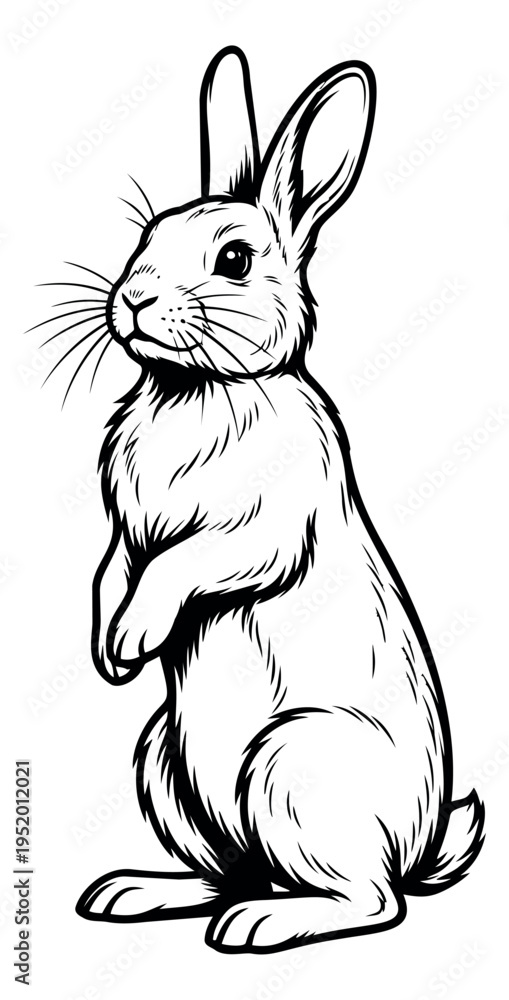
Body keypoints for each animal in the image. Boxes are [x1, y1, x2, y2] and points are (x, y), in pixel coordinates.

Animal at [74, 47, 484, 953]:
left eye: (233, 260)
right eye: (145, 238)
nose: (133, 299)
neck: (201, 387)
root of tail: (419, 847)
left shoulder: (263, 528)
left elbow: (187, 563)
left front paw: (135, 635)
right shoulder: (125, 532)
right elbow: (111, 570)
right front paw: (110, 654)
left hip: (291, 767)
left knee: (370, 902)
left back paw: (258, 926)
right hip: (166, 766)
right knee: (230, 869)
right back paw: (134, 893)